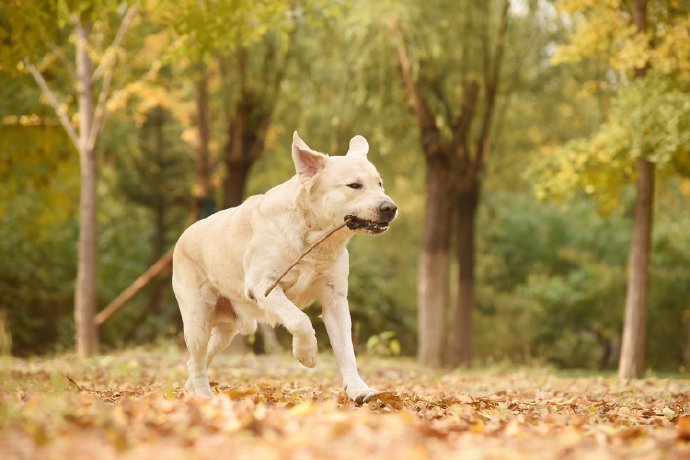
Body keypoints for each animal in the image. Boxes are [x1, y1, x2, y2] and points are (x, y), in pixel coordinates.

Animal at [172, 130, 398, 402]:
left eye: (380, 184)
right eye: (354, 185)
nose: (390, 207)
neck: (313, 237)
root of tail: (183, 236)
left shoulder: (335, 298)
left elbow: (347, 351)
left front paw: (358, 390)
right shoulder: (264, 287)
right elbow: (301, 320)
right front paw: (306, 354)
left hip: (229, 330)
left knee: (198, 360)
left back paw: (190, 390)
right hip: (198, 321)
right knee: (196, 360)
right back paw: (204, 395)